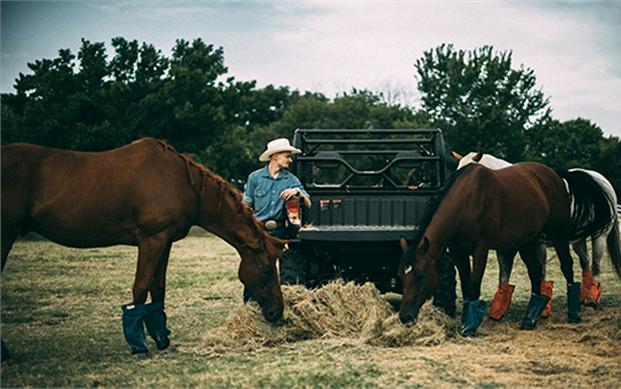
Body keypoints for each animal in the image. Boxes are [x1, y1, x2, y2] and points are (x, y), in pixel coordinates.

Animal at [0, 138, 284, 360]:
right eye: (267, 269)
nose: (277, 313)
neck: (182, 182)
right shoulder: (151, 241)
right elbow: (140, 289)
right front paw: (138, 344)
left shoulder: (165, 242)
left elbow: (157, 289)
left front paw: (161, 339)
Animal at [398, 162, 604, 334]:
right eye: (401, 276)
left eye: (421, 276)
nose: (405, 316)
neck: (467, 201)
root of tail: (554, 175)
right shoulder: (458, 253)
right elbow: (466, 287)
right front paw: (465, 322)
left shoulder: (480, 250)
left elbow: (473, 287)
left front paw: (469, 327)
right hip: (527, 241)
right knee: (535, 271)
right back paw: (530, 319)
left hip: (558, 234)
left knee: (567, 267)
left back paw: (574, 314)